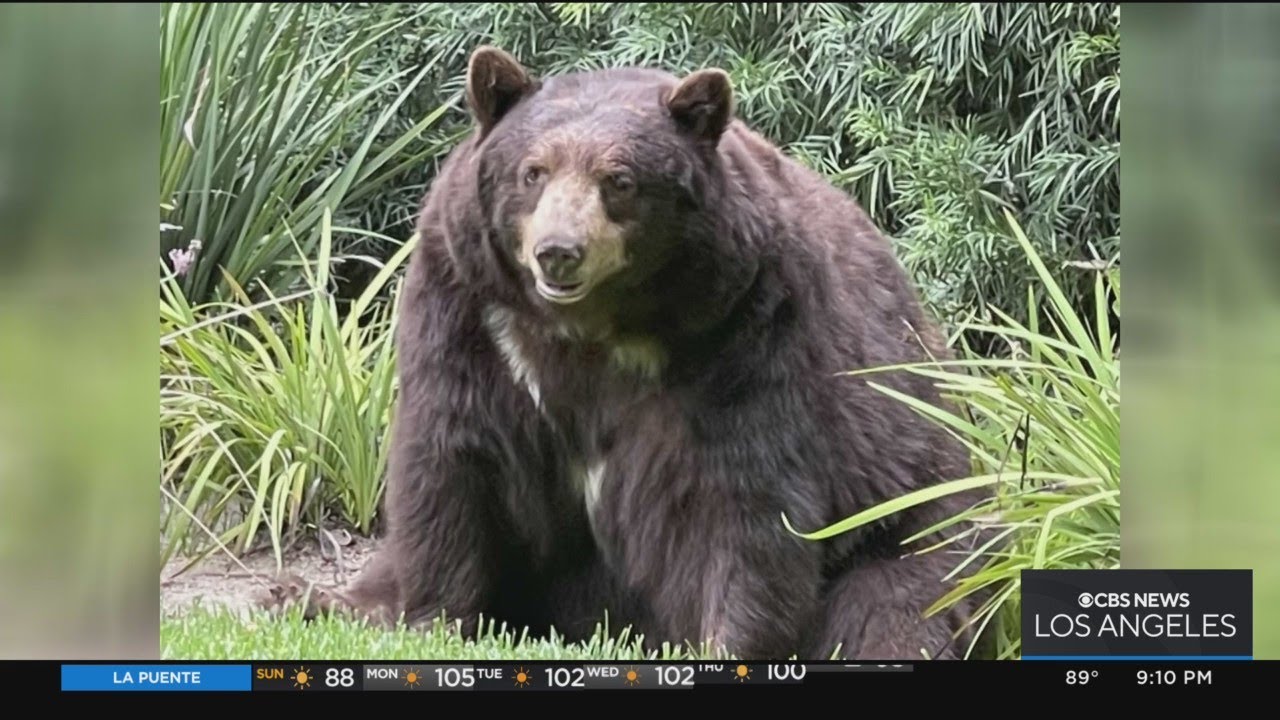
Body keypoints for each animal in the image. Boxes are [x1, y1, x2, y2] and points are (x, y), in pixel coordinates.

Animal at [270, 46, 990, 661]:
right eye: (533, 171)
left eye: (618, 180)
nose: (558, 252)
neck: (595, 327)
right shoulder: (470, 313)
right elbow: (453, 461)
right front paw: (424, 616)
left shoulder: (749, 329)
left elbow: (745, 501)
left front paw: (727, 642)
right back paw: (309, 595)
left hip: (917, 509)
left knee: (897, 603)